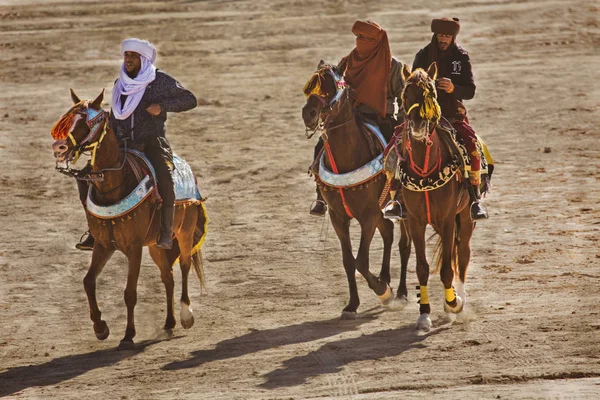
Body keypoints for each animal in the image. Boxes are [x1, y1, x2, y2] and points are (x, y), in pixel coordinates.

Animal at [49, 90, 209, 346]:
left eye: (87, 122)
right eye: (68, 117)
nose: (59, 147)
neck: (114, 183)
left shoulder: (134, 248)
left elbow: (130, 292)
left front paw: (128, 335)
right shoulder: (103, 244)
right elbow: (88, 281)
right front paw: (100, 328)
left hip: (184, 233)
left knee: (184, 266)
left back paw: (185, 315)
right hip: (156, 245)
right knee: (168, 277)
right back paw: (169, 324)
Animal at [300, 61, 412, 318]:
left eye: (331, 87)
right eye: (311, 85)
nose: (308, 113)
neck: (348, 156)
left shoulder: (368, 216)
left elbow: (361, 261)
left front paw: (383, 291)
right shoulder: (338, 217)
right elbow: (349, 261)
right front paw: (352, 304)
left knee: (404, 245)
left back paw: (400, 292)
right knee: (388, 233)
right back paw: (385, 277)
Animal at [392, 62, 480, 332]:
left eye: (430, 93)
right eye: (405, 95)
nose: (418, 127)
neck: (425, 169)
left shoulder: (449, 219)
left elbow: (447, 270)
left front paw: (454, 304)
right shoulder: (415, 221)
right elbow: (422, 268)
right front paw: (424, 315)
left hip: (466, 218)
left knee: (462, 255)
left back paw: (459, 302)